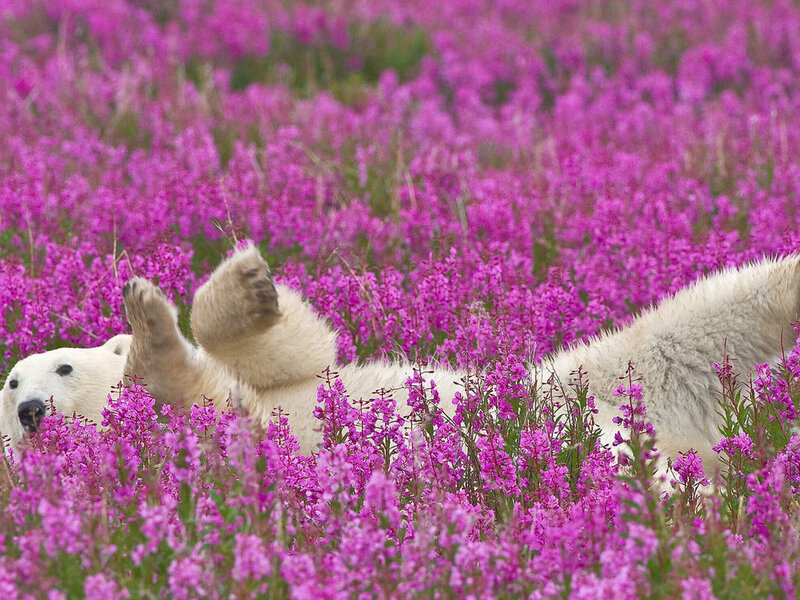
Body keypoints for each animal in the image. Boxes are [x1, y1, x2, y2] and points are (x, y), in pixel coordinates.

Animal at [2, 245, 799, 475]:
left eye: (60, 366)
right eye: (10, 387)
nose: (31, 409)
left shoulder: (281, 386)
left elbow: (300, 355)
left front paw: (241, 287)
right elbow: (197, 398)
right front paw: (152, 328)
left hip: (588, 379)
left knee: (704, 318)